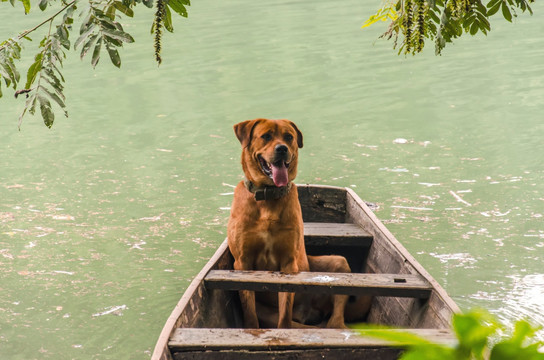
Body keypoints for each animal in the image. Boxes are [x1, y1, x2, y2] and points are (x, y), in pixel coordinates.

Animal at [227, 119, 368, 330]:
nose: (282, 149)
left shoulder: (288, 262)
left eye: (289, 137)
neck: (268, 197)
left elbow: (285, 312)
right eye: (266, 136)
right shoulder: (242, 261)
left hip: (338, 263)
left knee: (335, 318)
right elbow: (249, 311)